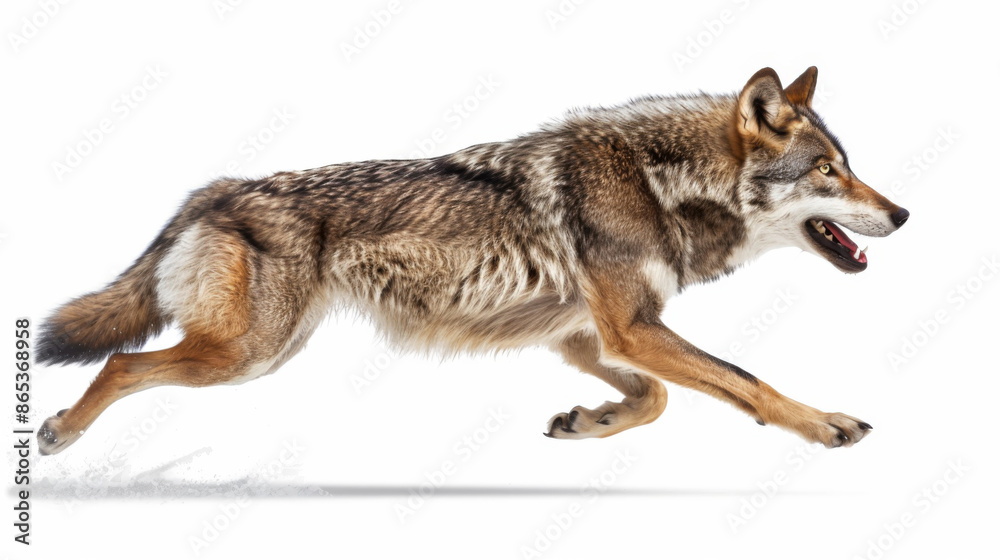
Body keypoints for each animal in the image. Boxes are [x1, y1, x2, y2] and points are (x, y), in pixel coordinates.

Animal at [35, 67, 908, 455]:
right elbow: (744, 381)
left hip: (258, 353)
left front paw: (590, 422)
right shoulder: (630, 327)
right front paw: (826, 423)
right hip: (247, 356)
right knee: (119, 361)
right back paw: (57, 435)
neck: (659, 182)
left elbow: (658, 398)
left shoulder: (588, 335)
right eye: (829, 171)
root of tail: (212, 191)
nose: (903, 214)